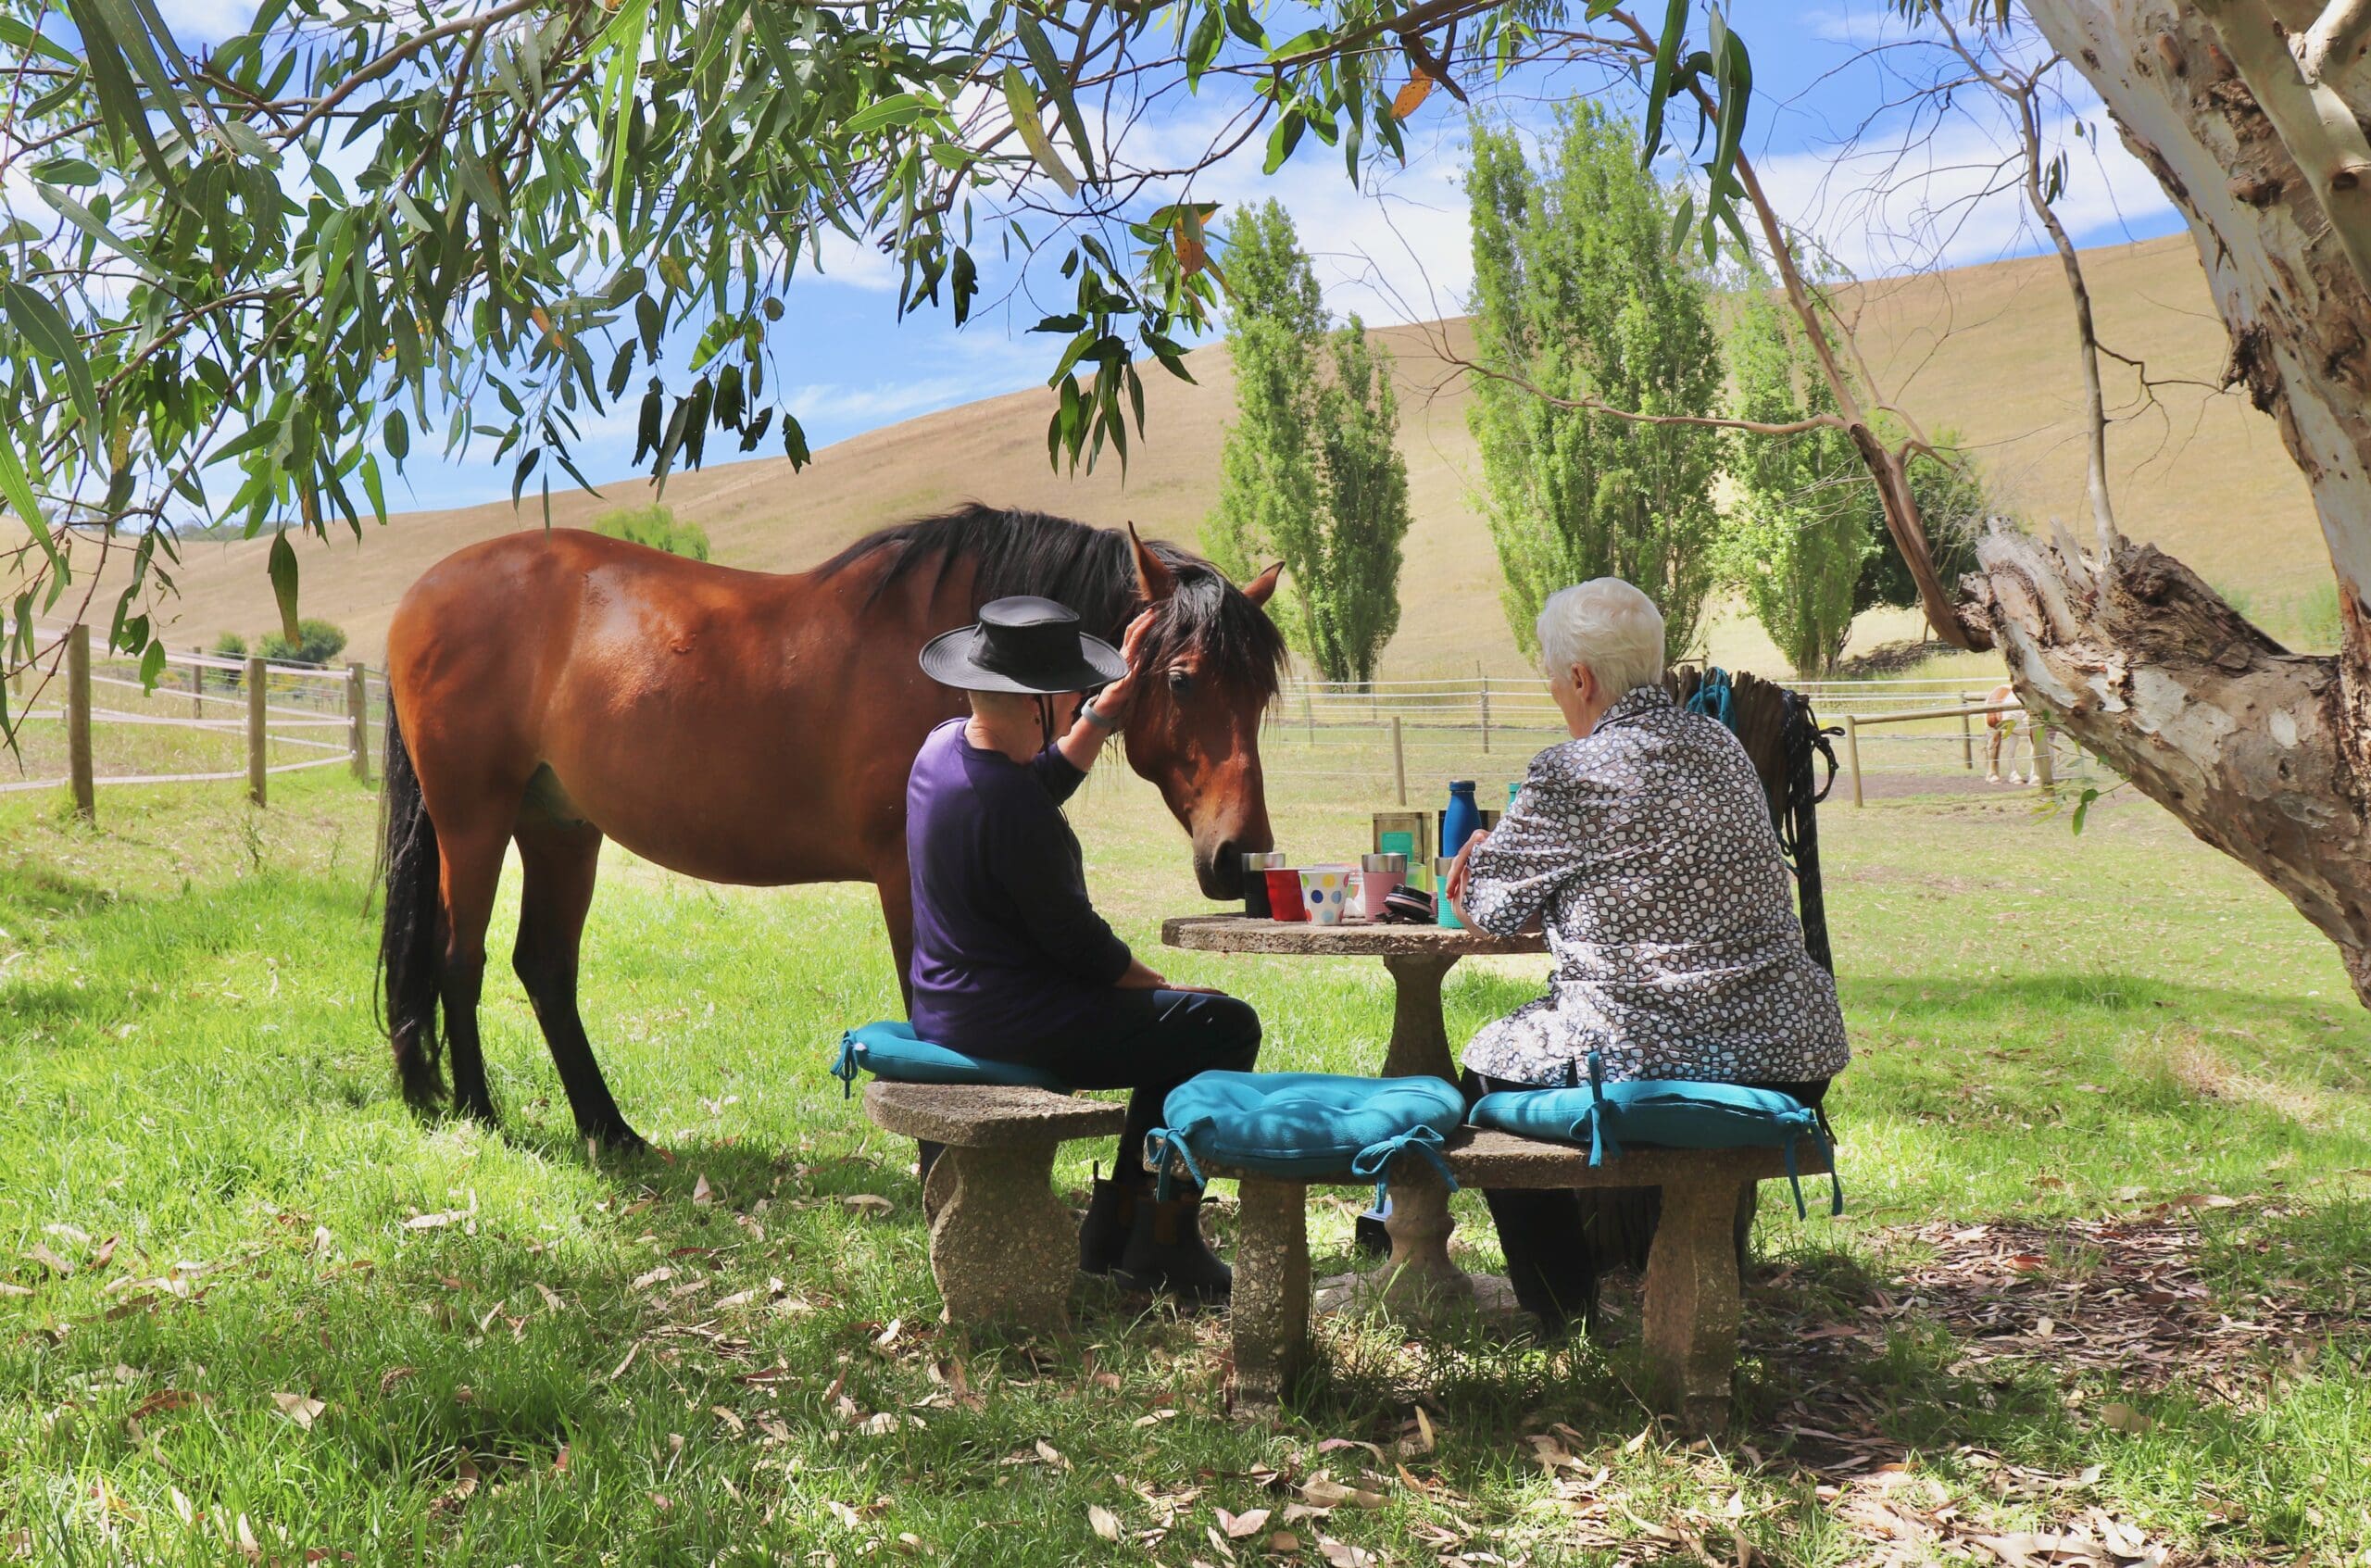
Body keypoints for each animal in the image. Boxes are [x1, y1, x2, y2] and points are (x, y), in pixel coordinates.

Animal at [379, 505, 1289, 1148]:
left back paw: (610, 1129)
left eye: (1260, 692)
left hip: (560, 829)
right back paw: (482, 1113)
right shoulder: (903, 876)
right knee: (460, 957)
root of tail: (422, 593)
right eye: (1182, 678)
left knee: (544, 967)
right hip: (475, 818)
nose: (1238, 855)